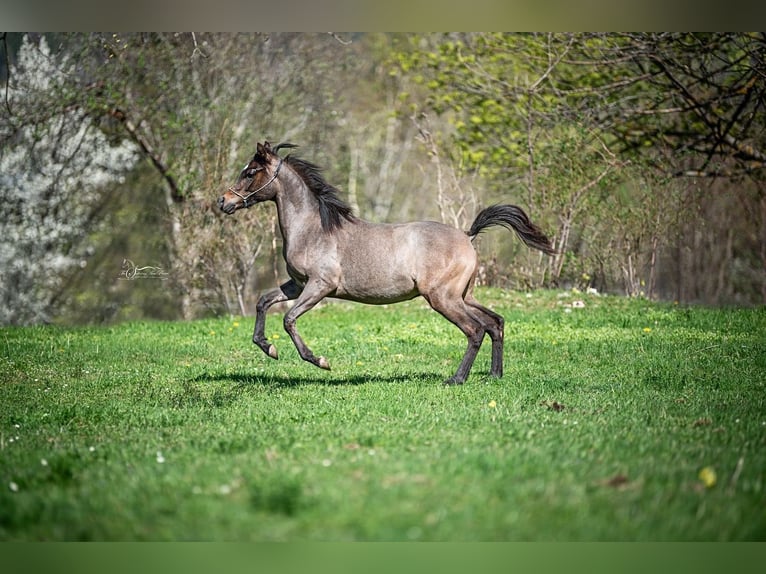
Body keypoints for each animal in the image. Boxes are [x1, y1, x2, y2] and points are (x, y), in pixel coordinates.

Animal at [219, 142, 556, 388]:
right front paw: (267, 347)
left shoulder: (320, 286)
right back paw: (494, 375)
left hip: (442, 298)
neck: (313, 229)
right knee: (494, 323)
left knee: (475, 330)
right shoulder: (297, 285)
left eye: (250, 172)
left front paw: (319, 361)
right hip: (464, 296)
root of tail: (466, 235)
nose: (224, 202)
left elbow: (289, 319)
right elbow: (263, 302)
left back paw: (456, 379)